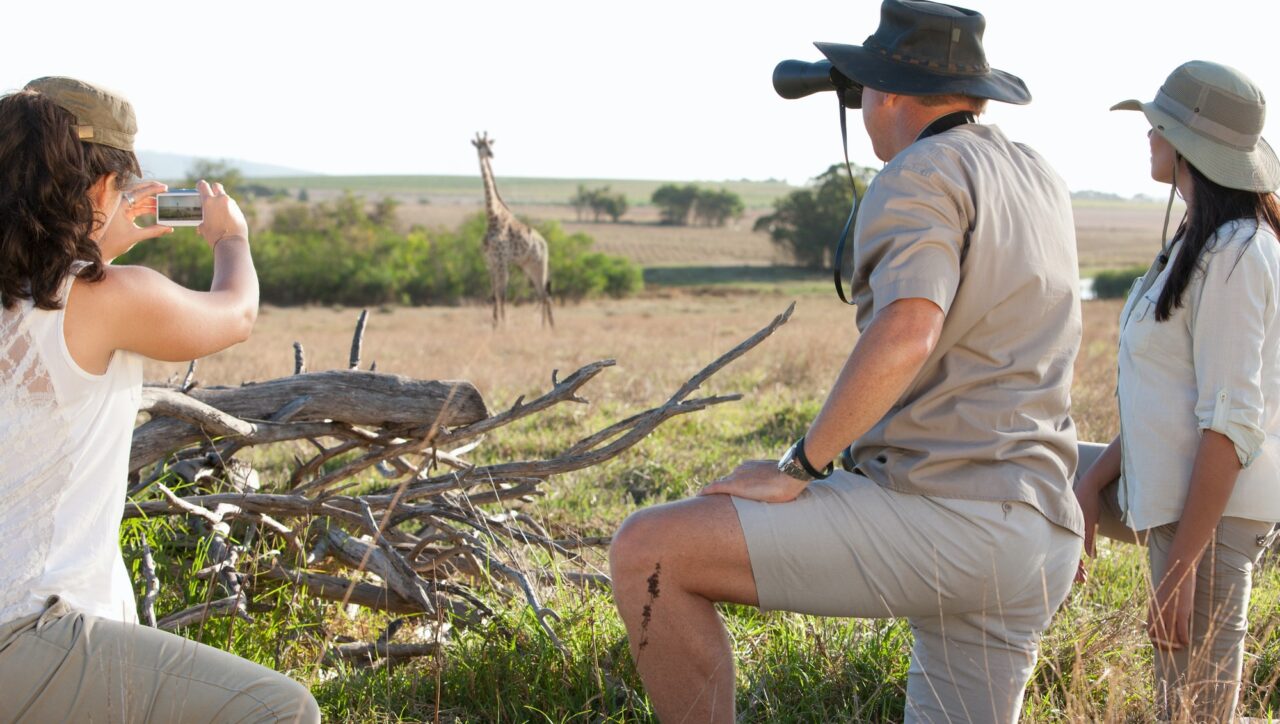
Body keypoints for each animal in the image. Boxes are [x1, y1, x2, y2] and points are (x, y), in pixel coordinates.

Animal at [471, 132, 550, 330]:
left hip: (540, 263)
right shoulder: (490, 262)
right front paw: (494, 326)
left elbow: (503, 294)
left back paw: (545, 329)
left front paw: (504, 326)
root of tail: (545, 243)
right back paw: (544, 328)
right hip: (528, 265)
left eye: (489, 145)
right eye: (479, 146)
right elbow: (494, 295)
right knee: (541, 294)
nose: (490, 154)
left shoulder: (502, 262)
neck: (492, 217)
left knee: (545, 295)